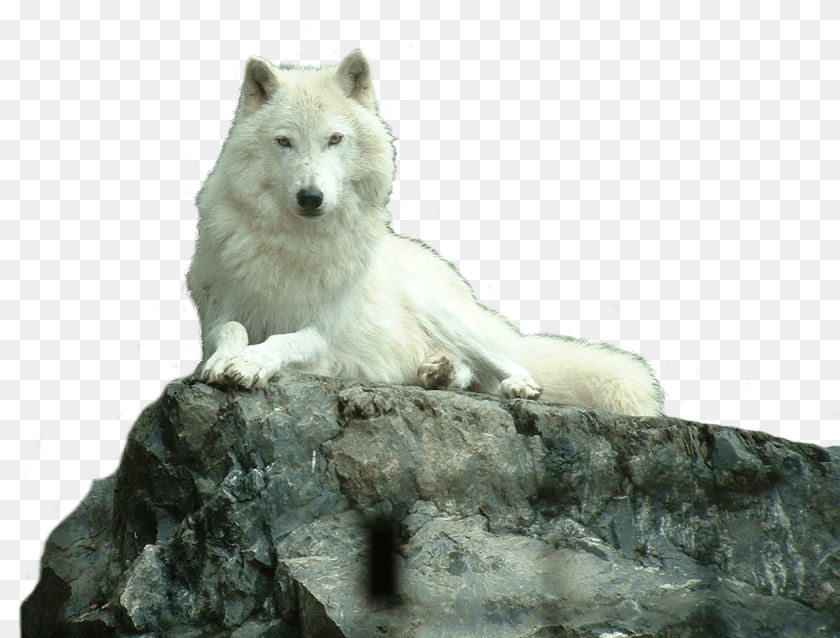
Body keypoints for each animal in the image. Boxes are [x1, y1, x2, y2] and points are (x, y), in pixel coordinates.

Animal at [186, 50, 665, 416]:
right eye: (284, 141)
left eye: (334, 139)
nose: (310, 197)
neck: (294, 243)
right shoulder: (218, 314)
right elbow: (231, 331)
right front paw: (227, 360)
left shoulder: (325, 335)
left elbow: (286, 339)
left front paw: (251, 362)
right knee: (470, 373)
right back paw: (438, 372)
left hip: (439, 308)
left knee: (505, 363)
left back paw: (514, 384)